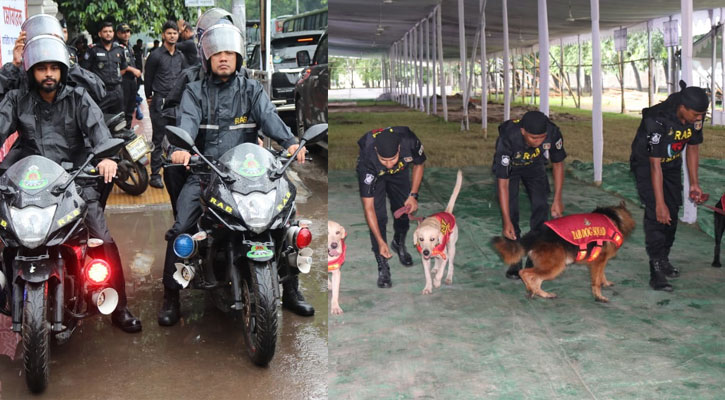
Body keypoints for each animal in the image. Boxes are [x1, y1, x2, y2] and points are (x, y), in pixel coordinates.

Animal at [492, 202, 632, 302]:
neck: (615, 217)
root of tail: (537, 233)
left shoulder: (599, 262)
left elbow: (601, 275)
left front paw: (605, 283)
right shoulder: (599, 261)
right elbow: (596, 281)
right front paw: (599, 296)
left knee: (536, 278)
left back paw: (540, 293)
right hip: (556, 266)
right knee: (524, 273)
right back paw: (533, 289)